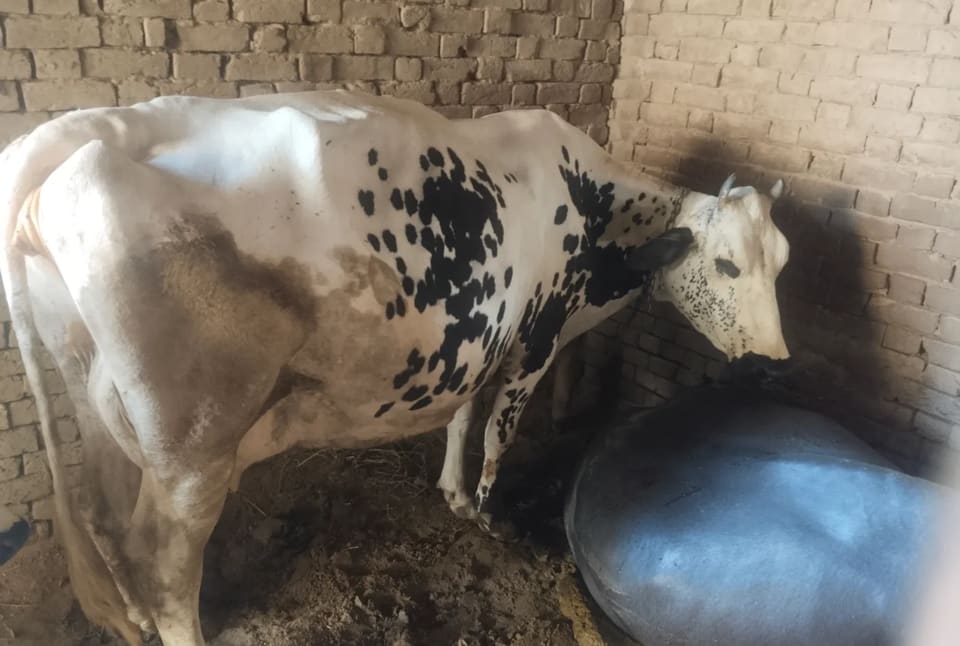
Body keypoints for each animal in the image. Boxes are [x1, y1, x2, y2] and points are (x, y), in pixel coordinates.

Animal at [0, 89, 790, 645]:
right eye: (726, 265)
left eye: (782, 261)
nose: (775, 365)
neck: (593, 206)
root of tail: (72, 132)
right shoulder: (536, 337)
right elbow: (499, 432)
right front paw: (489, 513)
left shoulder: (484, 336)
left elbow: (464, 416)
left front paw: (453, 495)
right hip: (193, 445)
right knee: (162, 557)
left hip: (95, 400)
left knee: (103, 516)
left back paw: (131, 622)